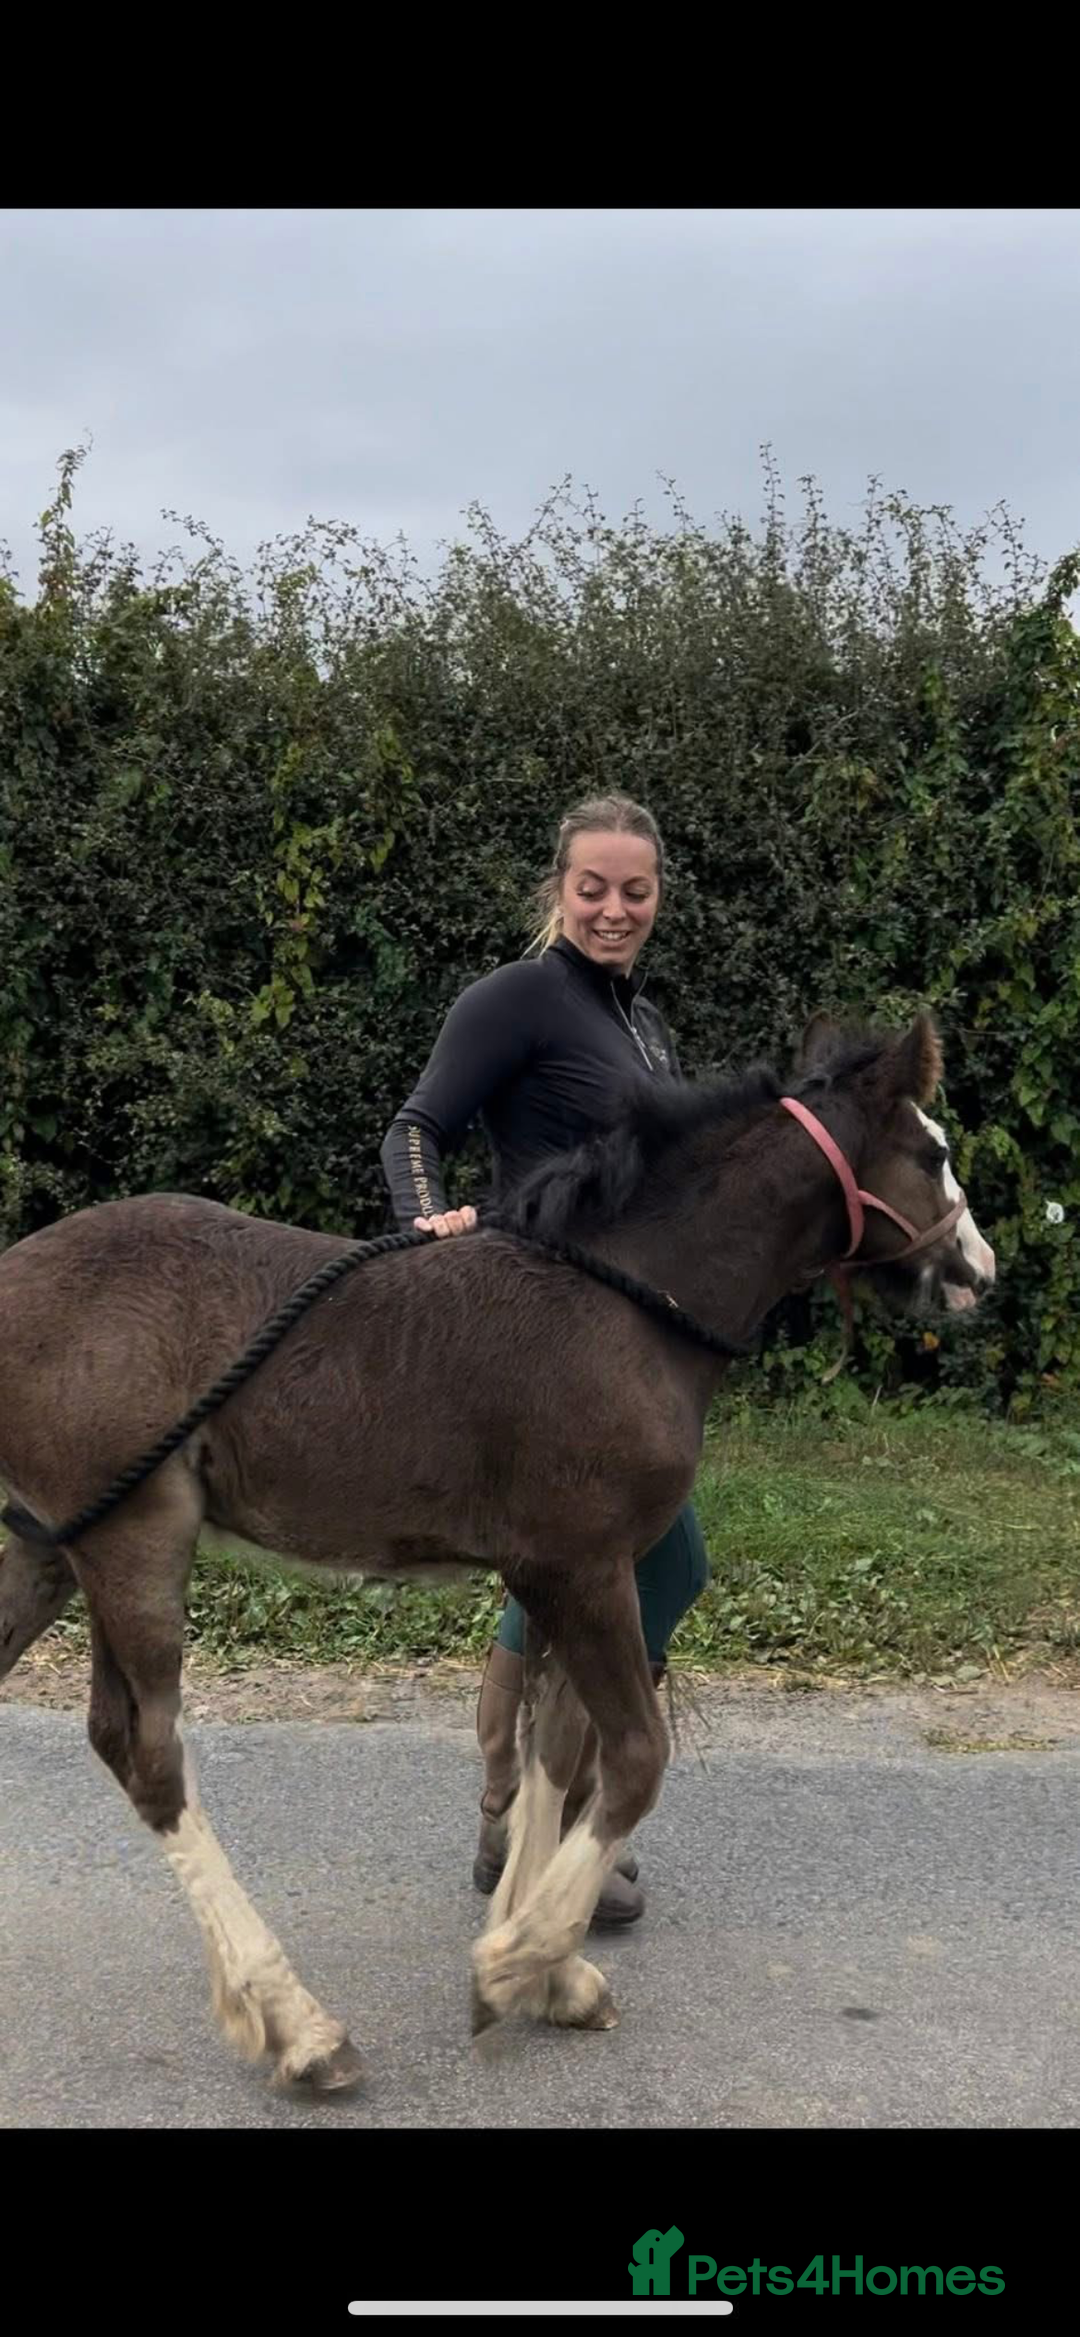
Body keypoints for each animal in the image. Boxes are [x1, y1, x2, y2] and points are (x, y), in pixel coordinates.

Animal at [0, 1011, 996, 2094]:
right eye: (933, 1153)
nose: (979, 1269)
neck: (622, 1308)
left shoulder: (565, 1571)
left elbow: (556, 1744)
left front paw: (549, 1970)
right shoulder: (581, 1565)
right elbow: (635, 1758)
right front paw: (513, 1966)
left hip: (45, 1553)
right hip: (132, 1540)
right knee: (149, 1755)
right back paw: (298, 2025)